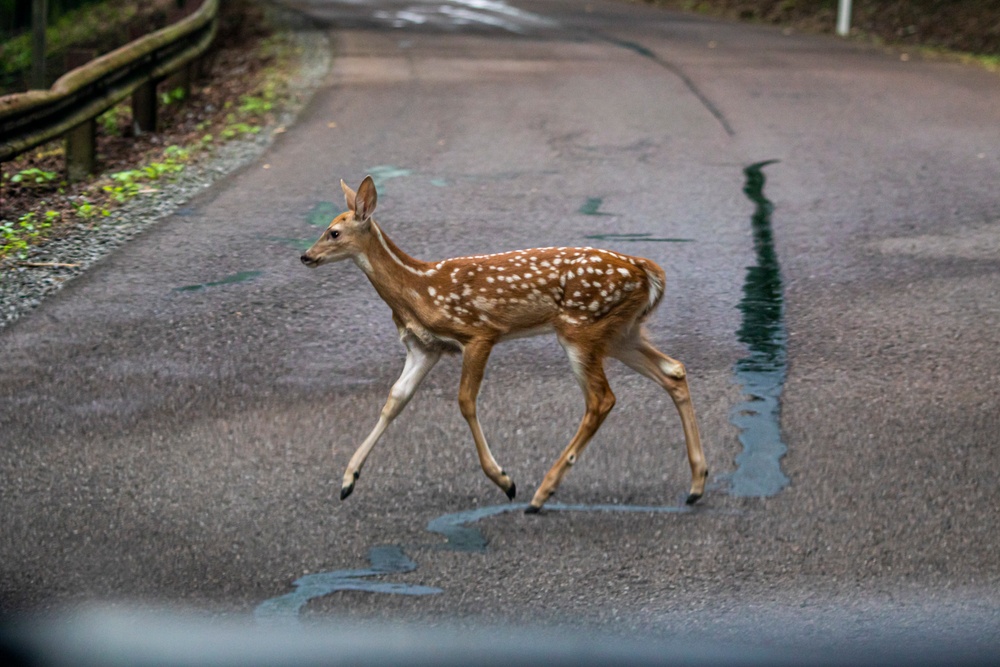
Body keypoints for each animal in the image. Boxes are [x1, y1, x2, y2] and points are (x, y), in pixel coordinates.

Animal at [300, 175, 708, 516]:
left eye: (333, 232)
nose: (306, 256)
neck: (418, 289)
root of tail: (647, 270)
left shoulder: (479, 332)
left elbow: (465, 401)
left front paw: (504, 480)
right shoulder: (424, 347)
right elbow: (394, 400)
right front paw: (348, 480)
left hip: (581, 327)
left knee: (601, 399)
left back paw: (541, 493)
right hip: (622, 331)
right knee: (673, 370)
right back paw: (696, 484)